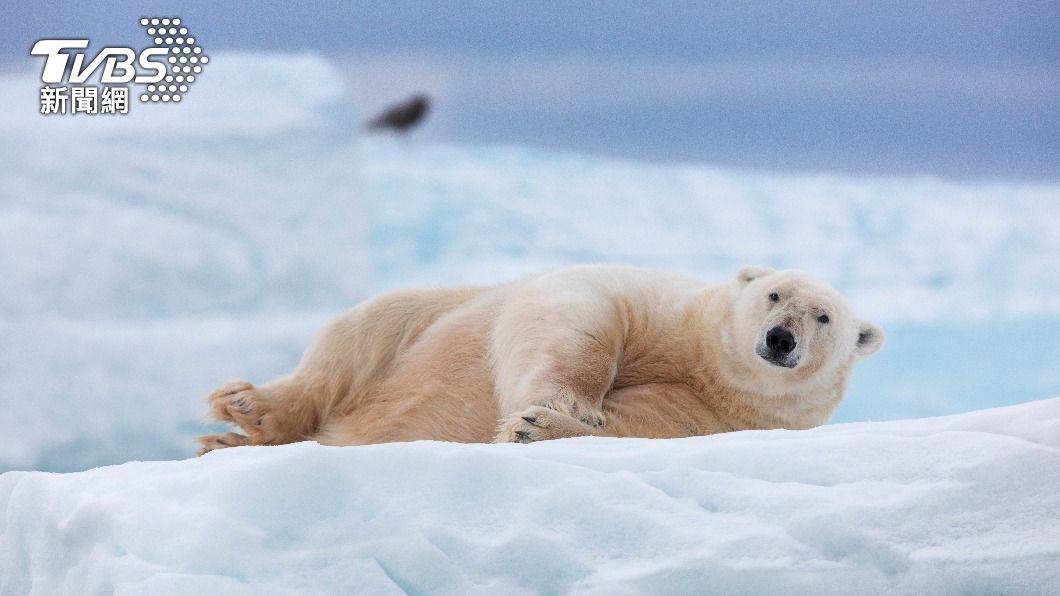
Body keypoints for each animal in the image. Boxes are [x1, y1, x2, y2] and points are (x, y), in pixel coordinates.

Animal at [197, 265, 883, 453]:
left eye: (825, 317)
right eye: (775, 294)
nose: (780, 338)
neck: (707, 365)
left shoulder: (714, 415)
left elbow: (634, 427)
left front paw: (535, 427)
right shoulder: (662, 307)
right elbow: (582, 315)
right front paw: (561, 402)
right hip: (430, 313)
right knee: (361, 334)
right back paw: (248, 413)